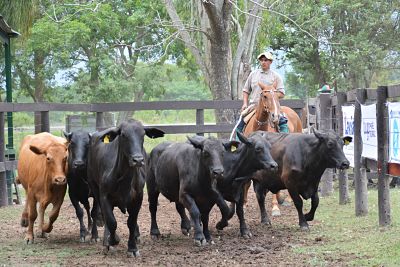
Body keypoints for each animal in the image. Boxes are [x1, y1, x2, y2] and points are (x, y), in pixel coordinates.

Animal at [87, 120, 164, 258]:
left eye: (143, 134)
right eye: (123, 135)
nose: (138, 160)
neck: (124, 180)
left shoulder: (138, 198)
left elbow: (131, 222)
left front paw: (132, 248)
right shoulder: (104, 196)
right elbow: (111, 221)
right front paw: (112, 240)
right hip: (93, 185)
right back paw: (104, 239)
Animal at [242, 82, 302, 218]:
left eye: (278, 95)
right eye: (264, 96)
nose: (275, 116)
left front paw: (275, 208)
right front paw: (243, 204)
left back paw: (288, 199)